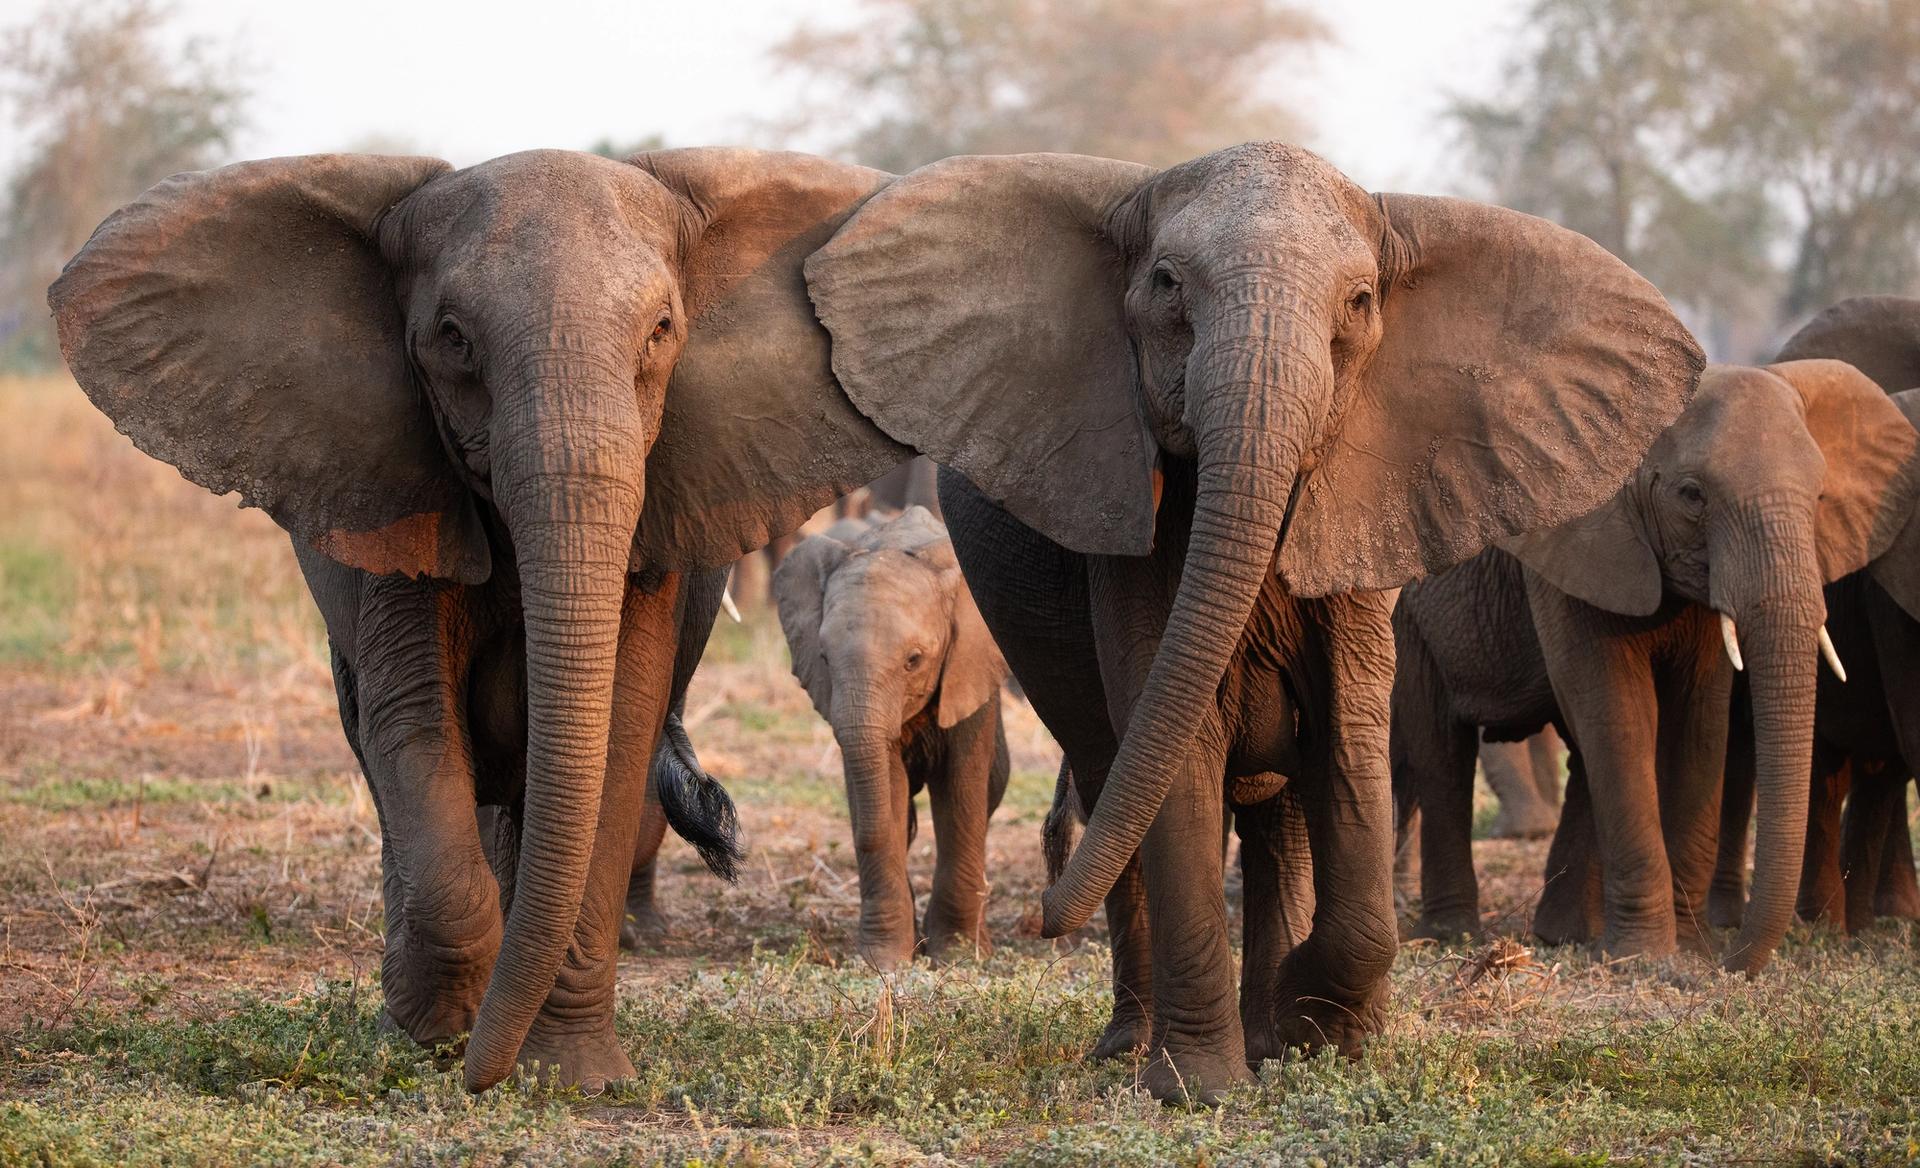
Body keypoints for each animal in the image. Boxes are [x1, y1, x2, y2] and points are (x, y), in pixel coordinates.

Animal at [51, 147, 912, 1092]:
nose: (477, 1076)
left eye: (661, 331)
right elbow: (413, 721)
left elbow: (617, 729)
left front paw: (569, 1077)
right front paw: (433, 1039)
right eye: (453, 337)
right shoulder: (396, 497)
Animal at [772, 506, 1010, 967]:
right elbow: (885, 788)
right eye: (823, 657)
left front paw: (957, 956)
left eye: (913, 660)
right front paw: (884, 962)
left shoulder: (970, 669)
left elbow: (961, 794)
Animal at [803, 142, 1704, 1103]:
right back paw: (1134, 1044)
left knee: (1278, 816)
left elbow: (1348, 737)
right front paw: (1196, 1088)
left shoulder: (1364, 508)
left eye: (1360, 302)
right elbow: (1176, 745)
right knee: (1114, 778)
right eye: (1166, 284)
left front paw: (1319, 1028)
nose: (1043, 919)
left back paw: (1268, 1030)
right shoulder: (1134, 528)